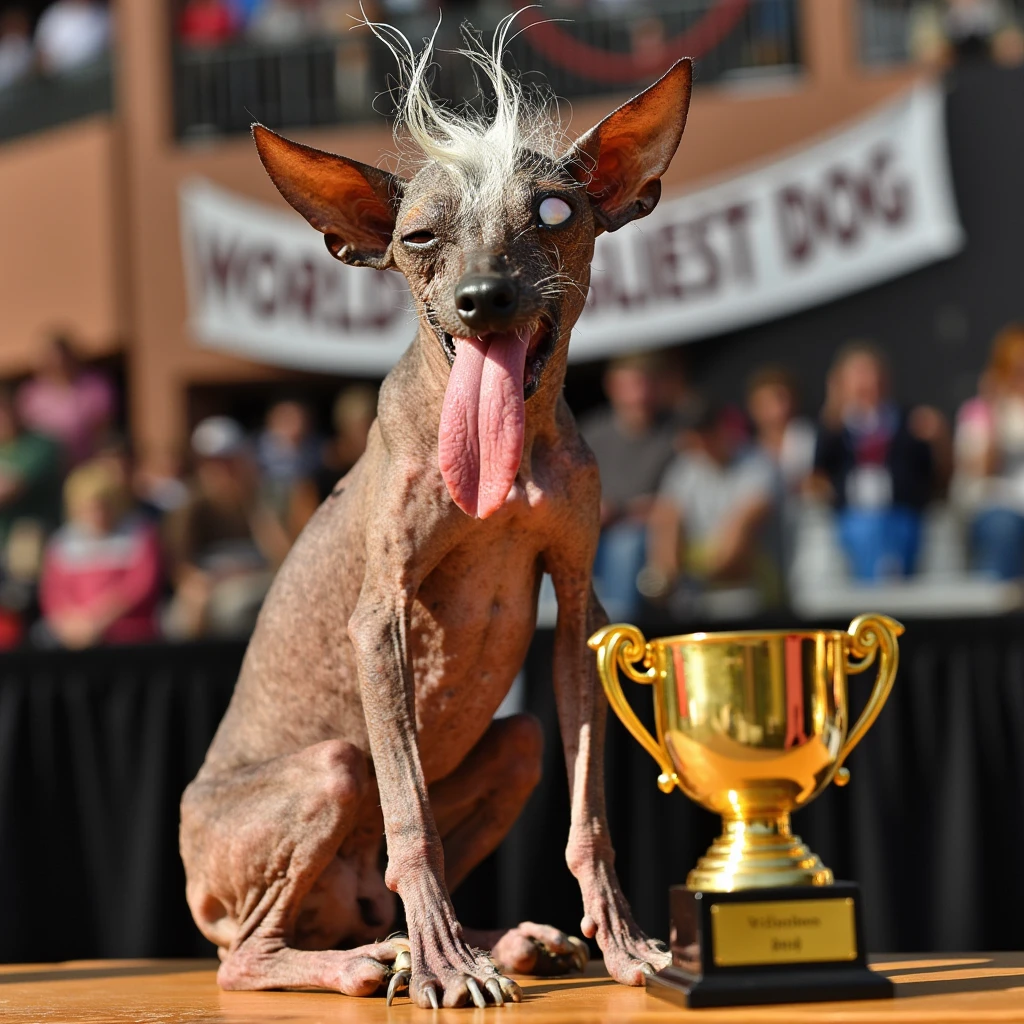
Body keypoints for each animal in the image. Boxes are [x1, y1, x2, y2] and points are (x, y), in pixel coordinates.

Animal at [180, 19, 692, 1011]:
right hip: (328, 774)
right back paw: (381, 959)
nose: (482, 298)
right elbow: (412, 820)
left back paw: (500, 941)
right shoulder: (379, 624)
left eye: (552, 214)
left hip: (514, 747)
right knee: (246, 954)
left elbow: (589, 817)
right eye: (418, 237)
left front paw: (620, 940)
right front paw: (447, 970)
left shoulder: (580, 612)